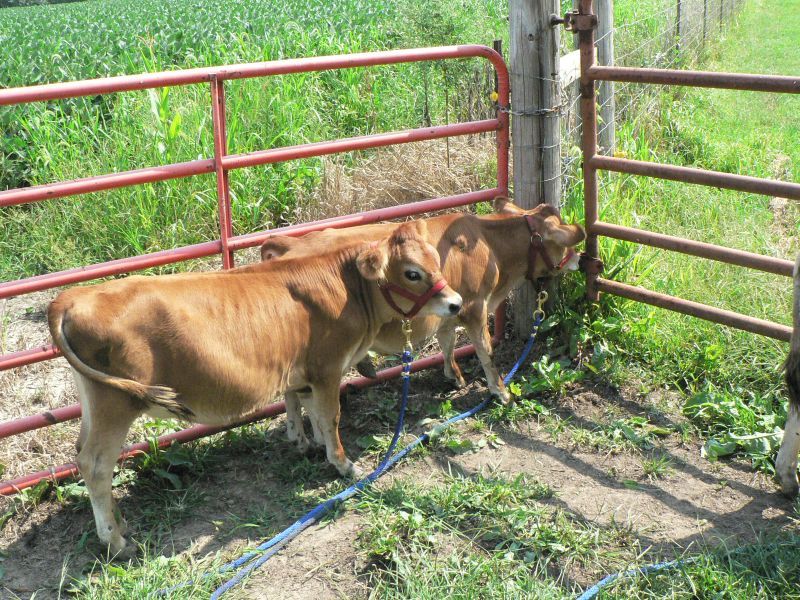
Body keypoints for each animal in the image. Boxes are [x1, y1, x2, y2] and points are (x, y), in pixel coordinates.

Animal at [48, 220, 462, 552]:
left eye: (435, 260)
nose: (456, 302)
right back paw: (115, 541)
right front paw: (343, 464)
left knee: (82, 453)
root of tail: (71, 297)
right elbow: (330, 416)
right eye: (412, 273)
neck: (344, 287)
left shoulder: (301, 369)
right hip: (115, 404)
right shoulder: (327, 368)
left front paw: (306, 443)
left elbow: (304, 407)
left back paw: (121, 522)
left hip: (94, 399)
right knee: (95, 465)